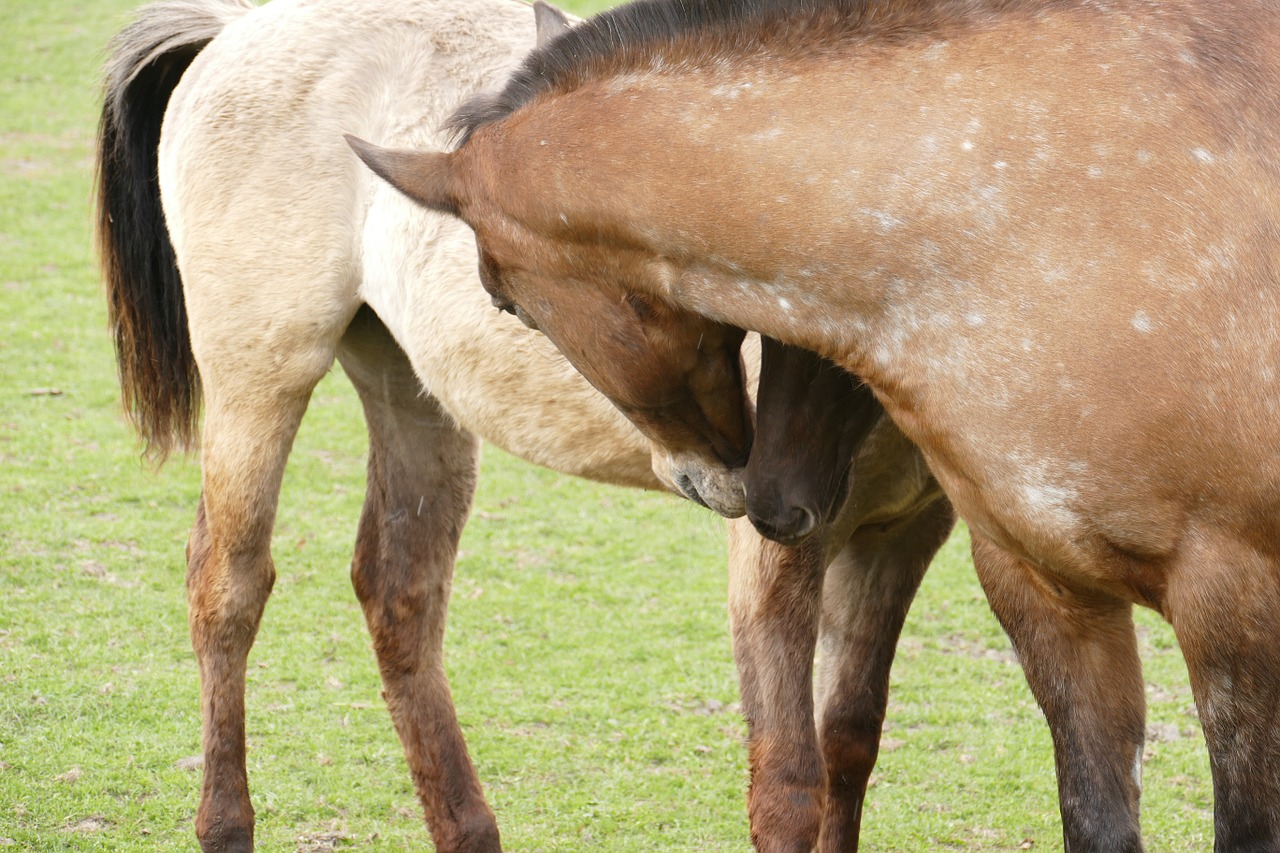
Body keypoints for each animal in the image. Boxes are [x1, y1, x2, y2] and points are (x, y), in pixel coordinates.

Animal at [99, 3, 957, 845]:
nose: (766, 479)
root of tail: (234, 27)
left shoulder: (898, 540)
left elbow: (849, 741)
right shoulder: (778, 558)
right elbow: (787, 783)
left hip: (410, 389)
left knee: (399, 591)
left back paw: (468, 828)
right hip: (262, 378)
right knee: (227, 585)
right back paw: (225, 822)